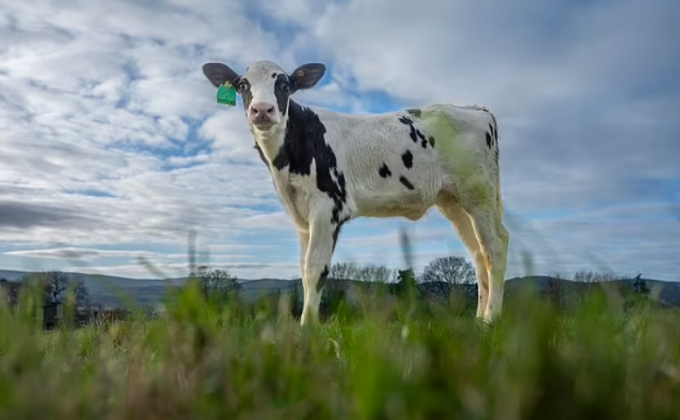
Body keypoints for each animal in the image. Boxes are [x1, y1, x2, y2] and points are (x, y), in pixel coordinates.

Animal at [202, 60, 510, 324]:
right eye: (242, 85)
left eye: (285, 85)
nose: (263, 110)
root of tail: (475, 109)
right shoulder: (301, 216)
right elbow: (302, 267)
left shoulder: (328, 207)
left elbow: (315, 267)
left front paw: (307, 329)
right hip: (453, 201)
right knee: (478, 252)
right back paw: (478, 320)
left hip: (478, 192)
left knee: (495, 245)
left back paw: (491, 320)